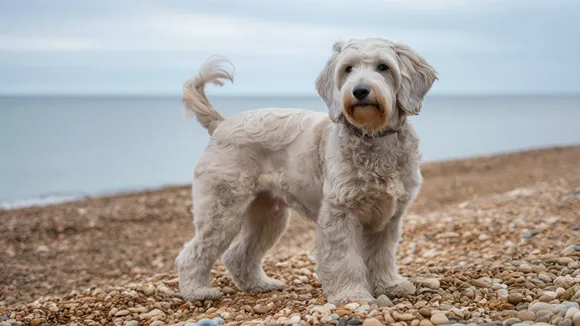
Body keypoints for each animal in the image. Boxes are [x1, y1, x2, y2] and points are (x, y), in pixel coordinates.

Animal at [174, 37, 438, 304]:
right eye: (348, 69)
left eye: (383, 67)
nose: (360, 90)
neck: (374, 137)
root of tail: (221, 124)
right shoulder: (340, 215)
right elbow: (346, 260)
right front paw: (352, 295)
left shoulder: (388, 219)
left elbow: (381, 256)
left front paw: (388, 285)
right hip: (221, 210)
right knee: (193, 252)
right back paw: (197, 290)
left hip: (268, 217)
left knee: (238, 254)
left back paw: (259, 284)